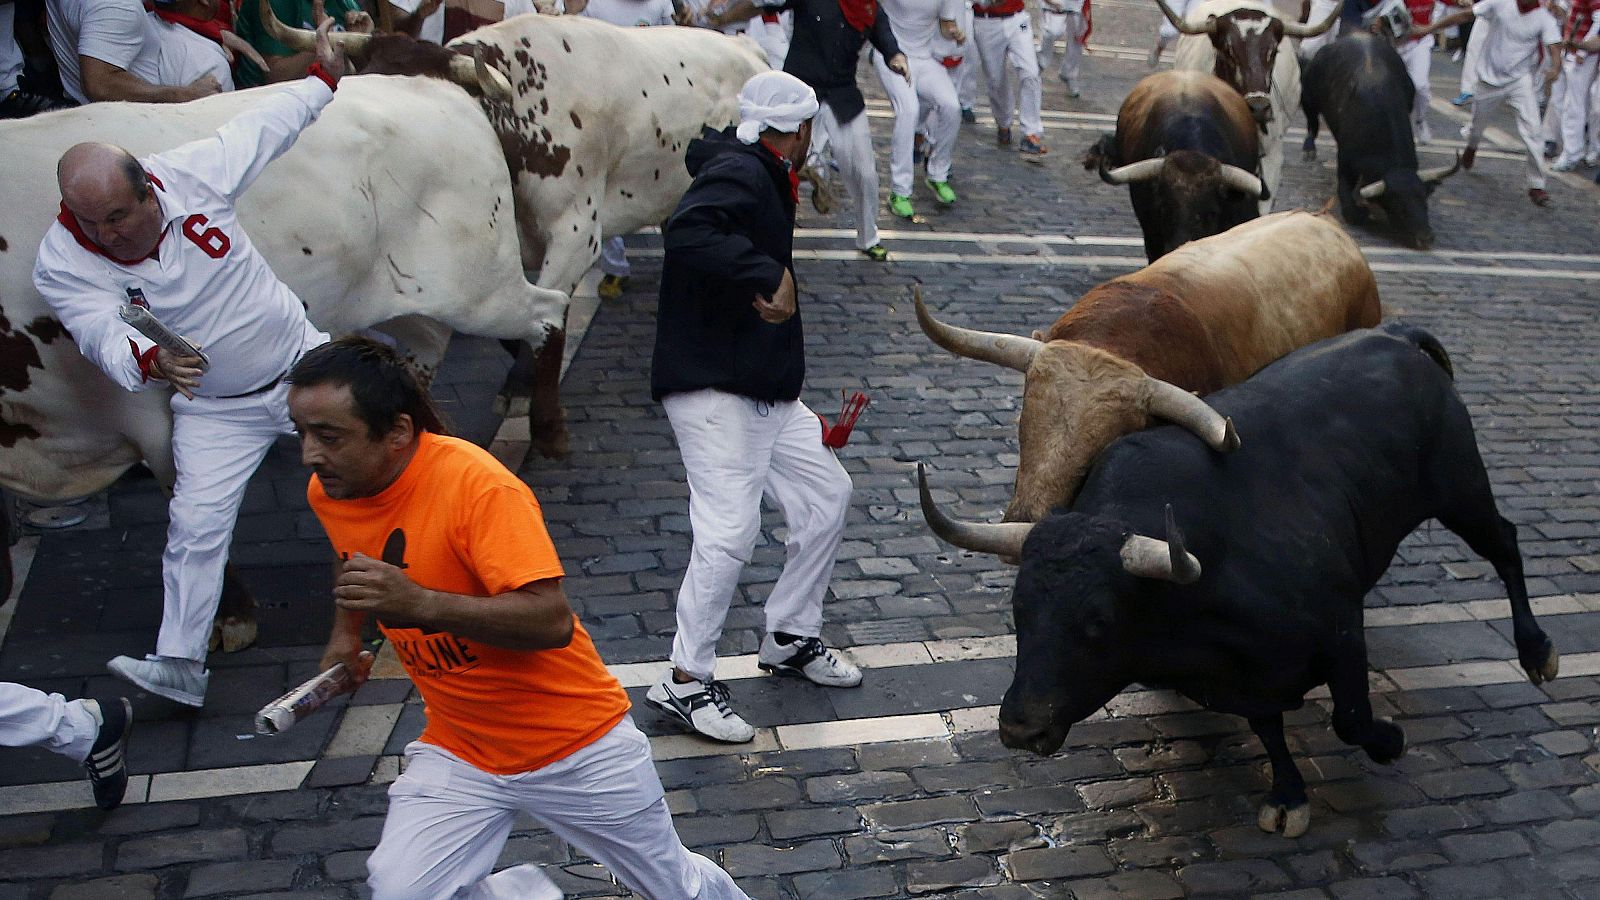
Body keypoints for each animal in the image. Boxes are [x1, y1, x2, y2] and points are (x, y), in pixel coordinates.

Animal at [921, 321, 1555, 832]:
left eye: (1098, 622)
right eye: (1019, 610)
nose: (1019, 727)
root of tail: (1395, 334)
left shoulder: (1341, 629)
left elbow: (1352, 719)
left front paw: (1390, 741)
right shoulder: (1246, 678)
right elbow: (1269, 727)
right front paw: (1289, 795)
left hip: (1461, 488)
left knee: (1506, 546)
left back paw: (1537, 651)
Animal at [1299, 32, 1465, 248]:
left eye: (1424, 202)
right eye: (1400, 208)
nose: (1426, 237)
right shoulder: (1345, 166)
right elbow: (1352, 211)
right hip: (1308, 96)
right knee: (1312, 121)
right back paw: (1309, 149)